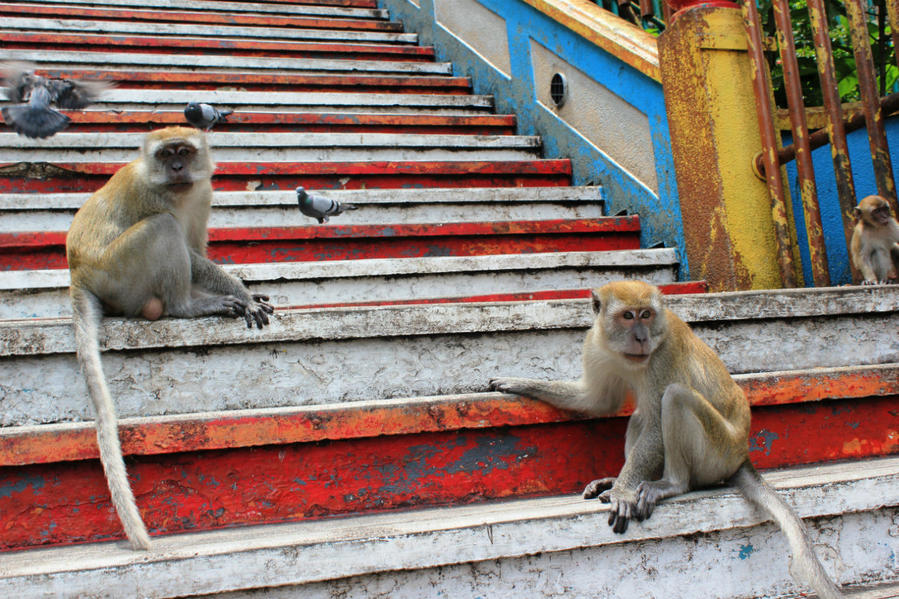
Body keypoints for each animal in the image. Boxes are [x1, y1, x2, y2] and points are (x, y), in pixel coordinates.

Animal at [67, 127, 274, 552]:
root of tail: (78, 273)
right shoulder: (152, 195)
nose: (177, 167)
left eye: (185, 152)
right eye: (166, 155)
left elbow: (195, 246)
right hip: (119, 274)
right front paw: (240, 292)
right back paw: (186, 305)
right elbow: (186, 249)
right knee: (161, 227)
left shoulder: (203, 191)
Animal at [492, 282, 844, 599]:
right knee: (640, 416)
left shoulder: (665, 353)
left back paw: (670, 484)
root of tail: (742, 454)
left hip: (718, 452)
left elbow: (656, 426)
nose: (641, 337)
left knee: (673, 398)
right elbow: (597, 401)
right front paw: (519, 383)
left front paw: (622, 491)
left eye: (646, 315)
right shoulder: (595, 345)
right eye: (628, 316)